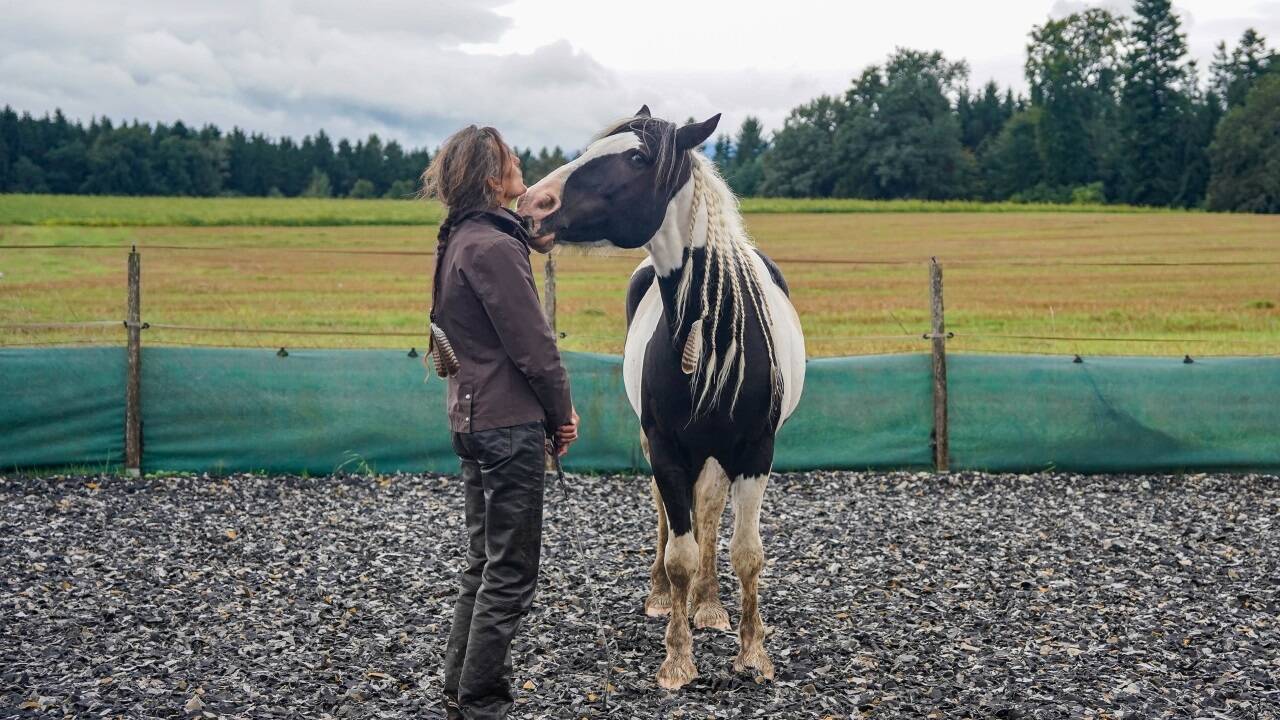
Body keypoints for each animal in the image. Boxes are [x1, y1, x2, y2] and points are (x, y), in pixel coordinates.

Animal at [514, 107, 803, 691]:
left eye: (637, 157)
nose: (532, 204)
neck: (709, 330)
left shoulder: (756, 452)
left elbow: (746, 553)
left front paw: (753, 653)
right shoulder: (667, 448)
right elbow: (679, 554)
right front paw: (677, 658)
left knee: (709, 512)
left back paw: (709, 605)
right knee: (671, 520)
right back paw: (669, 599)